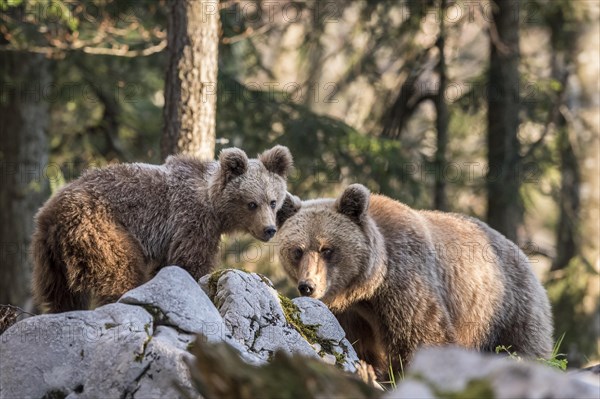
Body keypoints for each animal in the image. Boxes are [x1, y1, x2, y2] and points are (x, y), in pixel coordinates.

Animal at [31, 145, 292, 314]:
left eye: (272, 201)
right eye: (252, 203)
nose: (269, 229)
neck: (213, 204)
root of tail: (52, 213)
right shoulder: (190, 219)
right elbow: (190, 262)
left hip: (50, 256)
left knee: (61, 294)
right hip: (99, 227)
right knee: (121, 269)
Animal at [276, 184, 552, 378]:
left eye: (327, 249)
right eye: (297, 250)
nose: (307, 286)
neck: (367, 287)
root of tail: (519, 251)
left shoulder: (406, 282)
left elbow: (423, 336)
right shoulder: (349, 313)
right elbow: (359, 346)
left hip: (505, 308)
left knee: (522, 348)